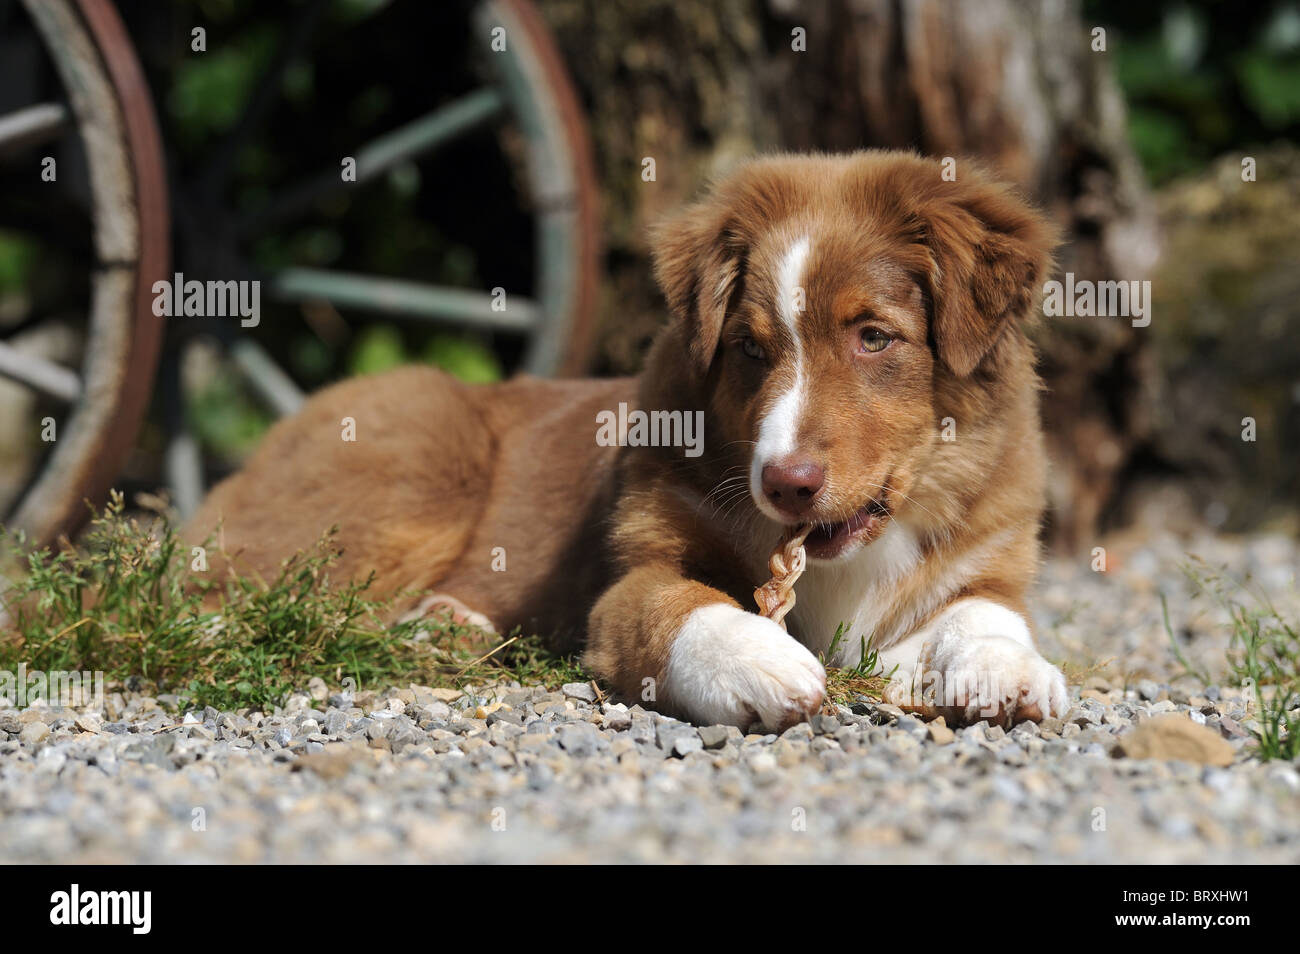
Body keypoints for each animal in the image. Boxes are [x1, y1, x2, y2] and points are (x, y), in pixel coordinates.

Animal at [189, 149, 1066, 733]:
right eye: (750, 349)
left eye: (875, 337)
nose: (786, 484)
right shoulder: (630, 577)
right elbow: (684, 608)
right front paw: (762, 661)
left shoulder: (984, 555)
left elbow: (986, 613)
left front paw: (1011, 670)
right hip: (420, 440)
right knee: (247, 594)